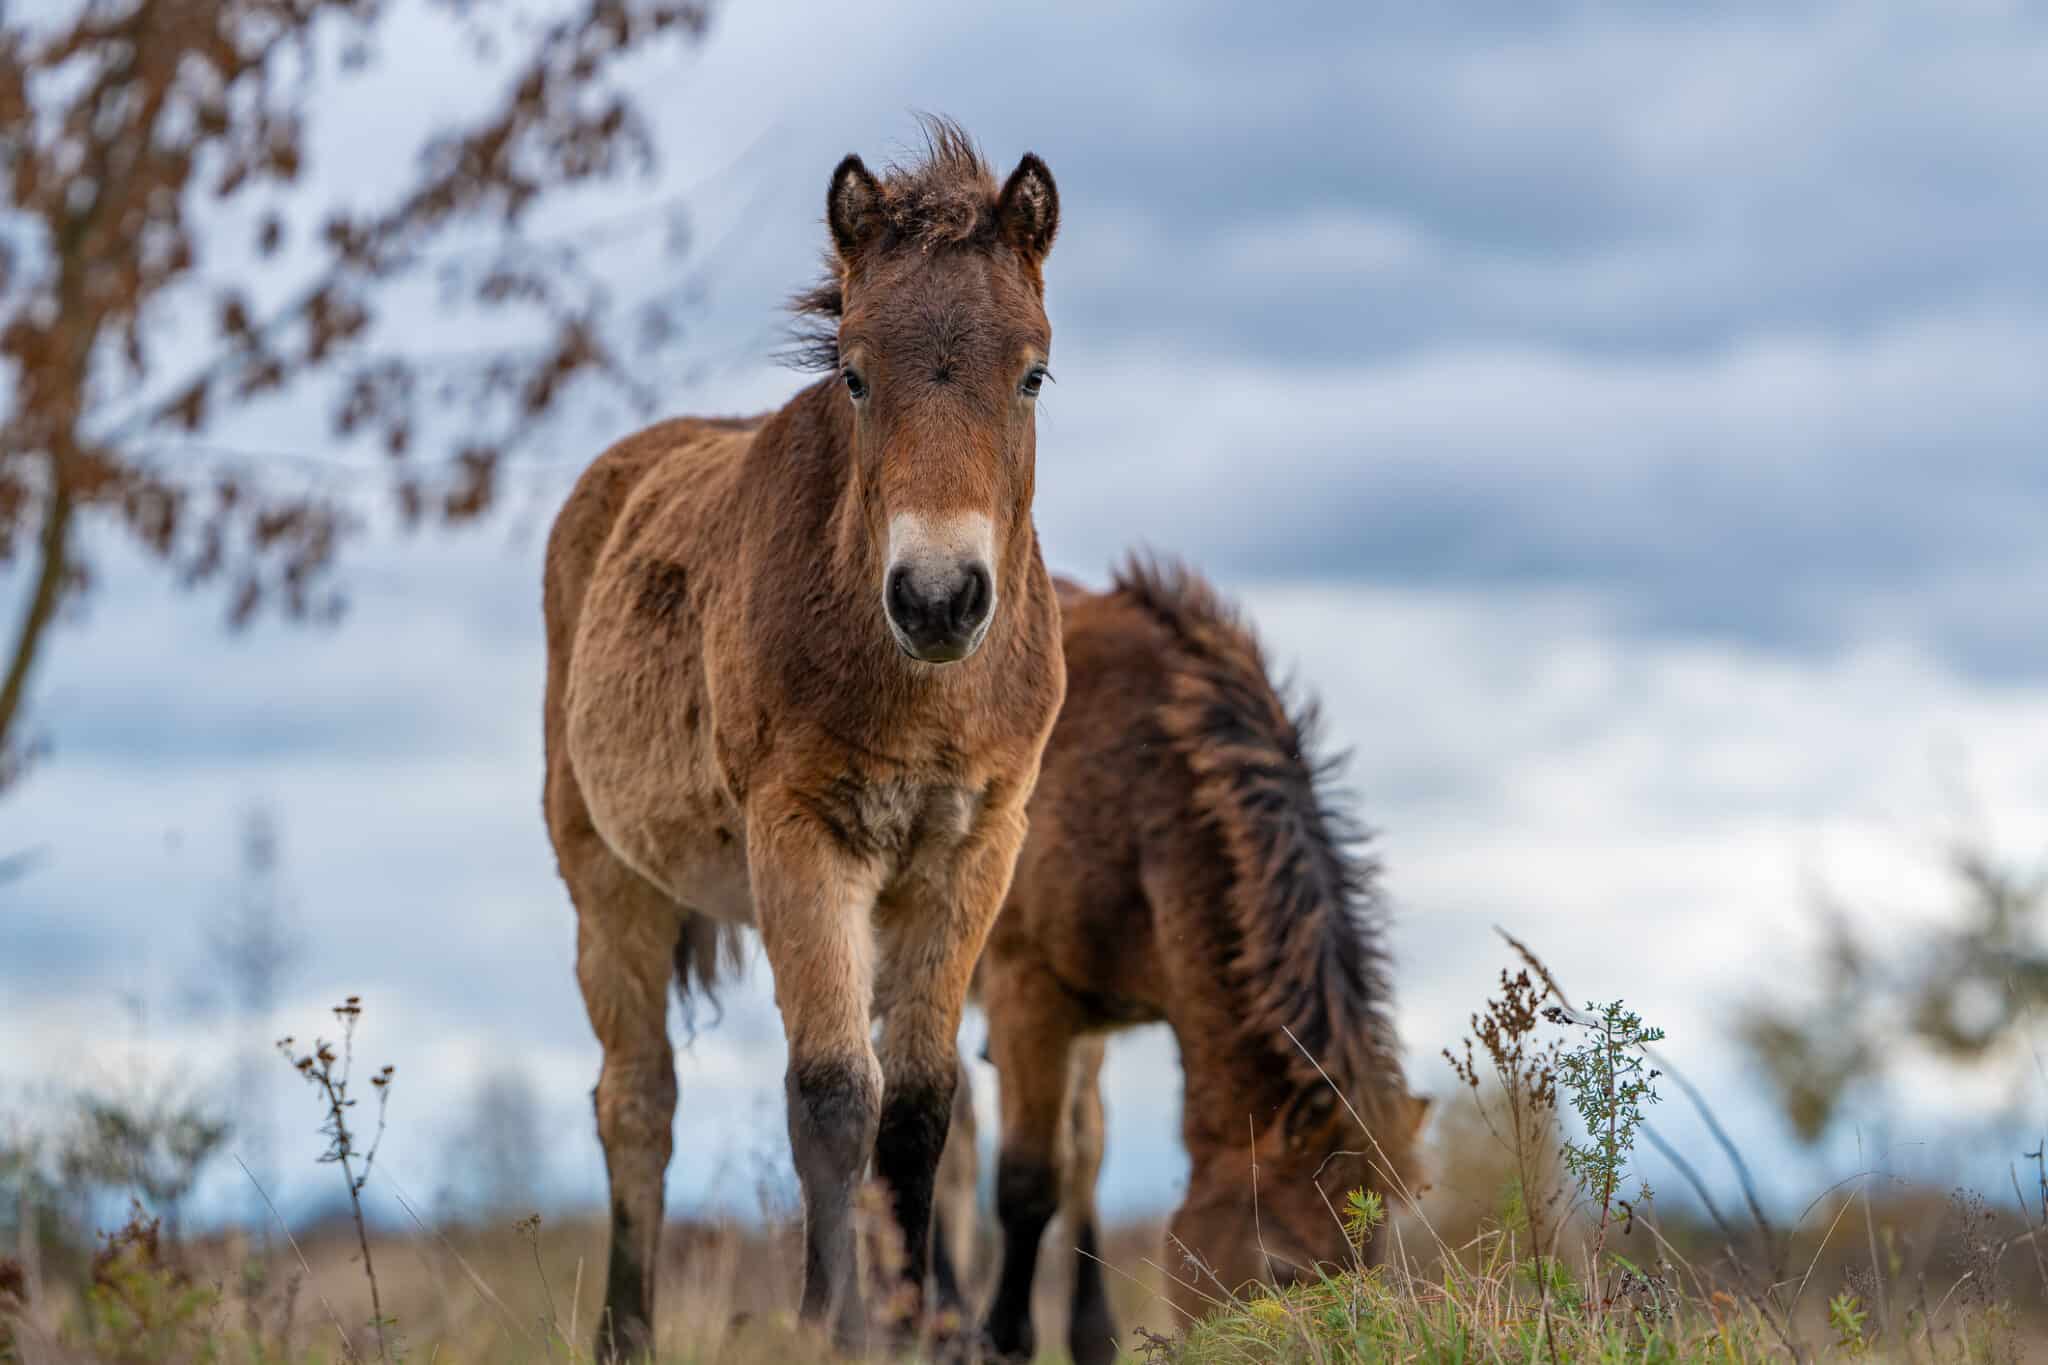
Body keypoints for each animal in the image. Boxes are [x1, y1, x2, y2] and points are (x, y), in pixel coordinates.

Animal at [541, 120, 1066, 1359]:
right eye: (855, 374)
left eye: (1031, 373)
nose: (937, 597)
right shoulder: (798, 834)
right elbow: (831, 1092)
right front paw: (837, 1328)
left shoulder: (973, 851)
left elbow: (917, 1107)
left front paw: (917, 1325)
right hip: (608, 882)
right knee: (637, 1105)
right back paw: (625, 1334)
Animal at [934, 558, 1430, 1364]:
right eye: (1283, 1271)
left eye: (1374, 1262)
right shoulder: (1026, 993)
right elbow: (1029, 1181)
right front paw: (1001, 1339)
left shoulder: (1089, 1019)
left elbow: (1083, 1157)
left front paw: (1089, 1336)